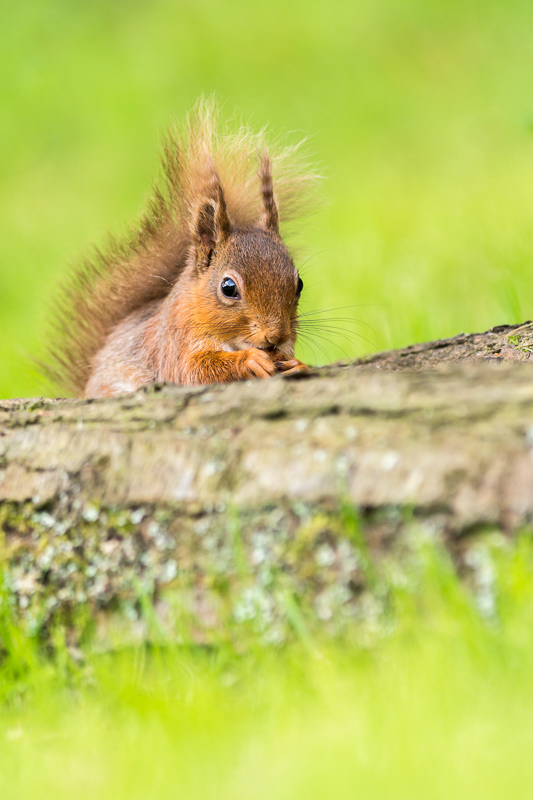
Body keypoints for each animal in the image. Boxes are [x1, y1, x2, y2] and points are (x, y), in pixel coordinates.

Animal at [46, 101, 318, 398]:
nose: (276, 336)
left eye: (300, 284)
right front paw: (249, 360)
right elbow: (194, 370)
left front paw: (298, 364)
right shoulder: (177, 342)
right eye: (228, 288)